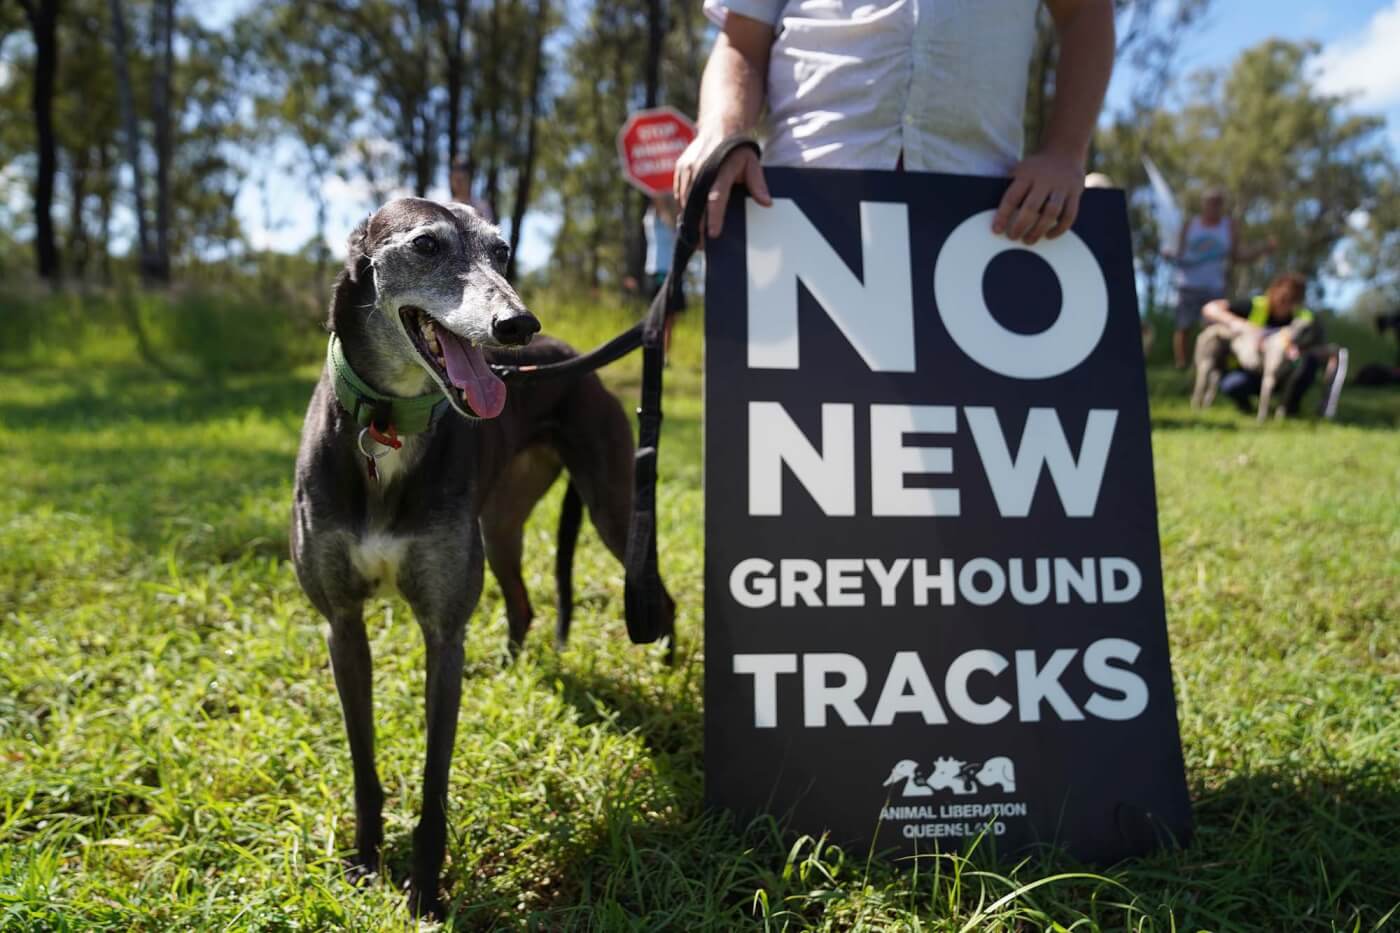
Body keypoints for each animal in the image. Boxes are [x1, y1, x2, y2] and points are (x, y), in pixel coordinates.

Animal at [289, 196, 672, 913]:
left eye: (502, 251)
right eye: (426, 245)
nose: (517, 325)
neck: (389, 425)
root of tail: (571, 357)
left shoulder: (444, 631)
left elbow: (434, 778)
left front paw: (425, 890)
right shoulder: (342, 624)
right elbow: (363, 761)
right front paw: (365, 860)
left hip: (611, 504)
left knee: (660, 595)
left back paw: (666, 668)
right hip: (499, 527)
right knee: (522, 606)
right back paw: (511, 670)